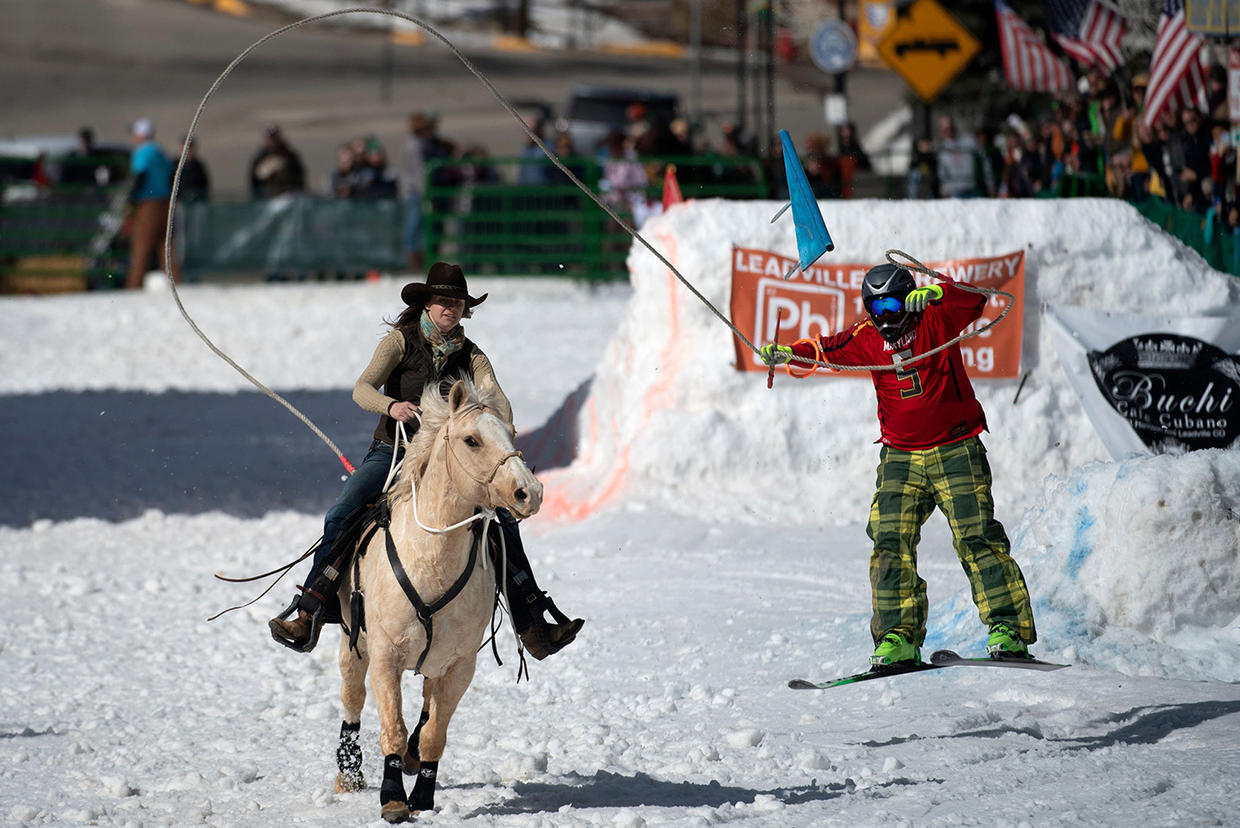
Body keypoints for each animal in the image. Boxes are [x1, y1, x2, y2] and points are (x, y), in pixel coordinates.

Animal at [329, 376, 543, 823]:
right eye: (471, 440)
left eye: (511, 433)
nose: (529, 492)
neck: (431, 559)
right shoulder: (385, 656)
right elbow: (391, 729)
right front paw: (393, 800)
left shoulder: (460, 664)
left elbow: (433, 734)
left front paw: (423, 798)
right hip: (352, 641)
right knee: (352, 697)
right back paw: (349, 772)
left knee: (426, 704)